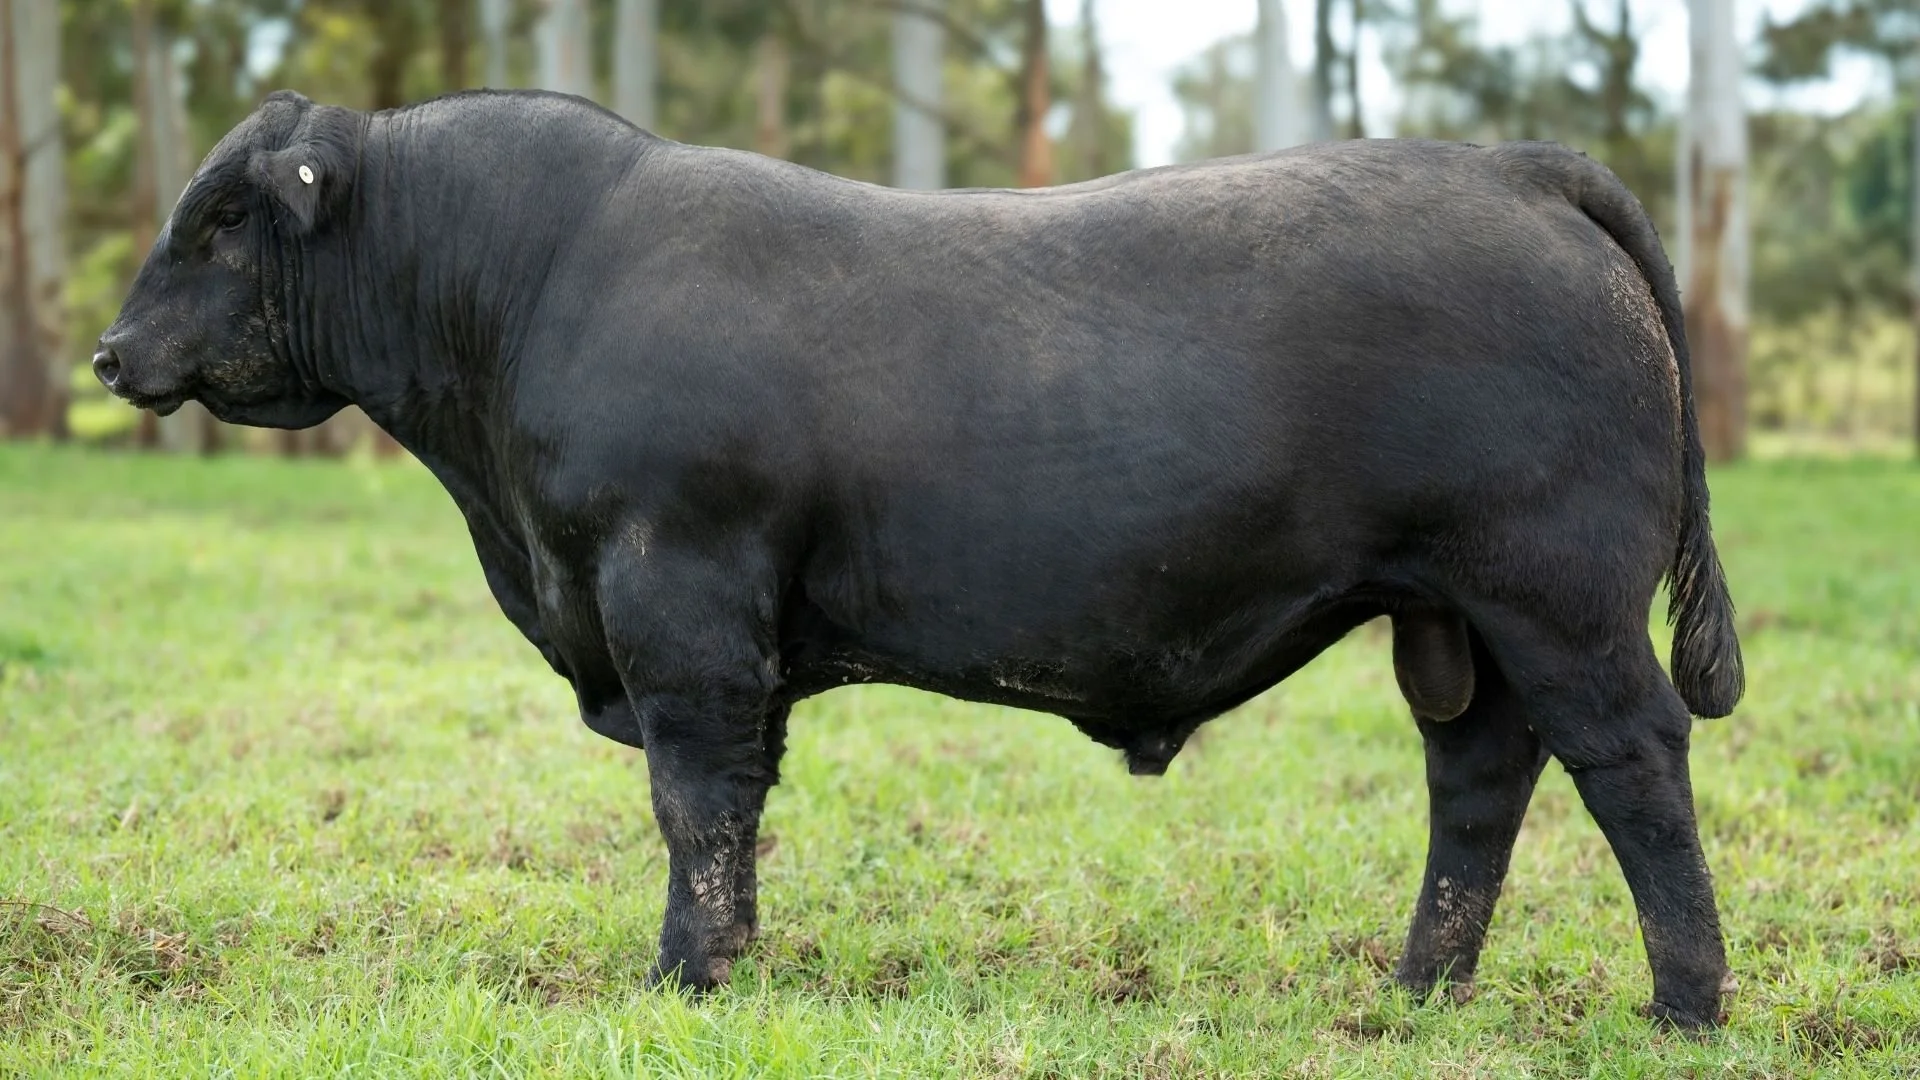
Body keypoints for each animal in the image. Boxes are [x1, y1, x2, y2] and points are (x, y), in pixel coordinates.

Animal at [95, 89, 1745, 1028]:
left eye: (224, 219)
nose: (110, 354)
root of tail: (1514, 168)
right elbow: (733, 809)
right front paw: (731, 966)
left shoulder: (679, 597)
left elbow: (696, 800)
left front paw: (685, 980)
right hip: (1456, 621)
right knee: (1479, 784)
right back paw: (1418, 997)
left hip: (1561, 602)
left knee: (1637, 768)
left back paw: (1684, 1006)